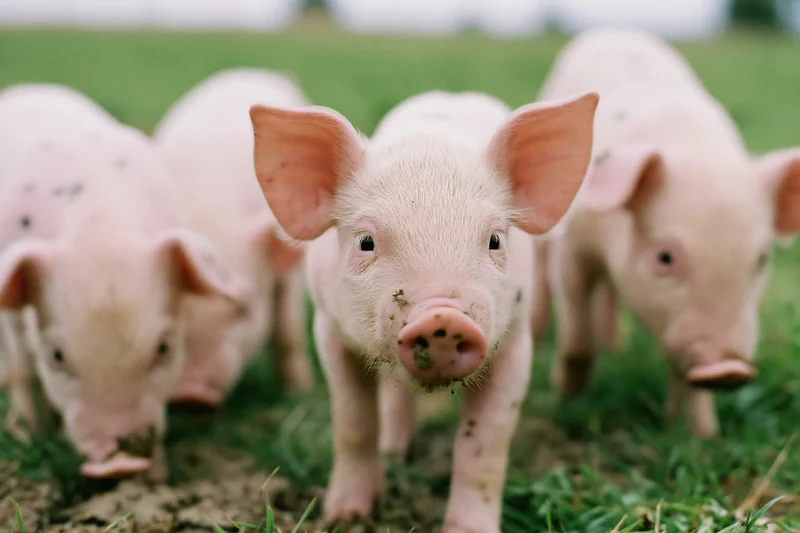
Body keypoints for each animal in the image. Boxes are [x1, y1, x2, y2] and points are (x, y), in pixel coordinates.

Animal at [0, 83, 246, 480]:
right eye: (56, 356)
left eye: (164, 347)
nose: (121, 463)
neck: (100, 229)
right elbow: (22, 370)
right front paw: (28, 436)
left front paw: (158, 480)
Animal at [152, 68, 313, 407]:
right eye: (177, 309)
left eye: (243, 309)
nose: (191, 393)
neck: (211, 209)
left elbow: (287, 329)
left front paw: (299, 392)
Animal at [249, 89, 598, 531]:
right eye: (365, 242)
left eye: (495, 240)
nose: (442, 318)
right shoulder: (328, 329)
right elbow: (353, 423)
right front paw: (345, 517)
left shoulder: (517, 342)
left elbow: (484, 446)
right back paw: (394, 452)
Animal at [533, 29, 800, 438]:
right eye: (665, 257)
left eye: (760, 260)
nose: (727, 369)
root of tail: (616, 32)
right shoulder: (572, 246)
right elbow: (576, 328)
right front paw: (566, 395)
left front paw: (700, 436)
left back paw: (616, 345)